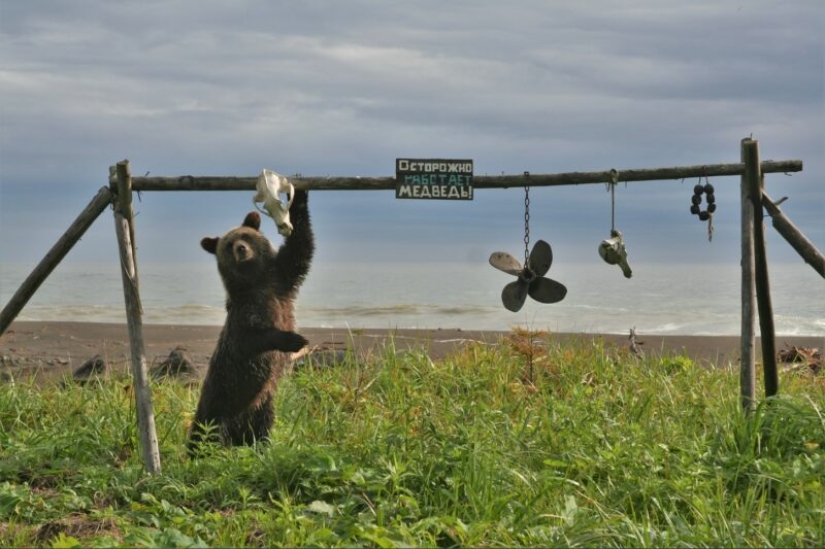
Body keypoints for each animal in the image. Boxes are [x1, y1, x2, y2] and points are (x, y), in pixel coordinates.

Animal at [188, 189, 314, 454]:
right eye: (228, 244)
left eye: (245, 235)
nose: (241, 249)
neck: (257, 282)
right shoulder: (245, 312)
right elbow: (252, 338)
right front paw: (294, 339)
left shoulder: (282, 280)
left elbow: (300, 247)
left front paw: (298, 196)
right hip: (218, 406)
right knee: (207, 435)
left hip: (261, 406)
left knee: (262, 428)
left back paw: (261, 448)